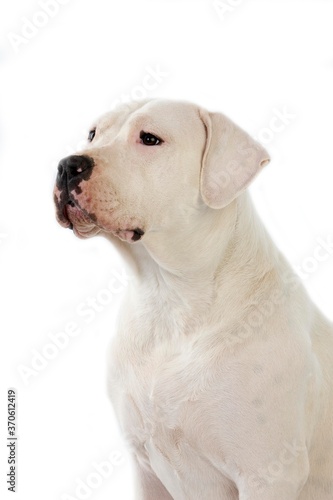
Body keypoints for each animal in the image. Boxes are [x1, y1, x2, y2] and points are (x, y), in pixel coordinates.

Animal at [53, 99, 332, 498]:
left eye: (150, 138)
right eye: (92, 133)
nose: (67, 165)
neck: (168, 300)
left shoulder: (269, 473)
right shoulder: (146, 470)